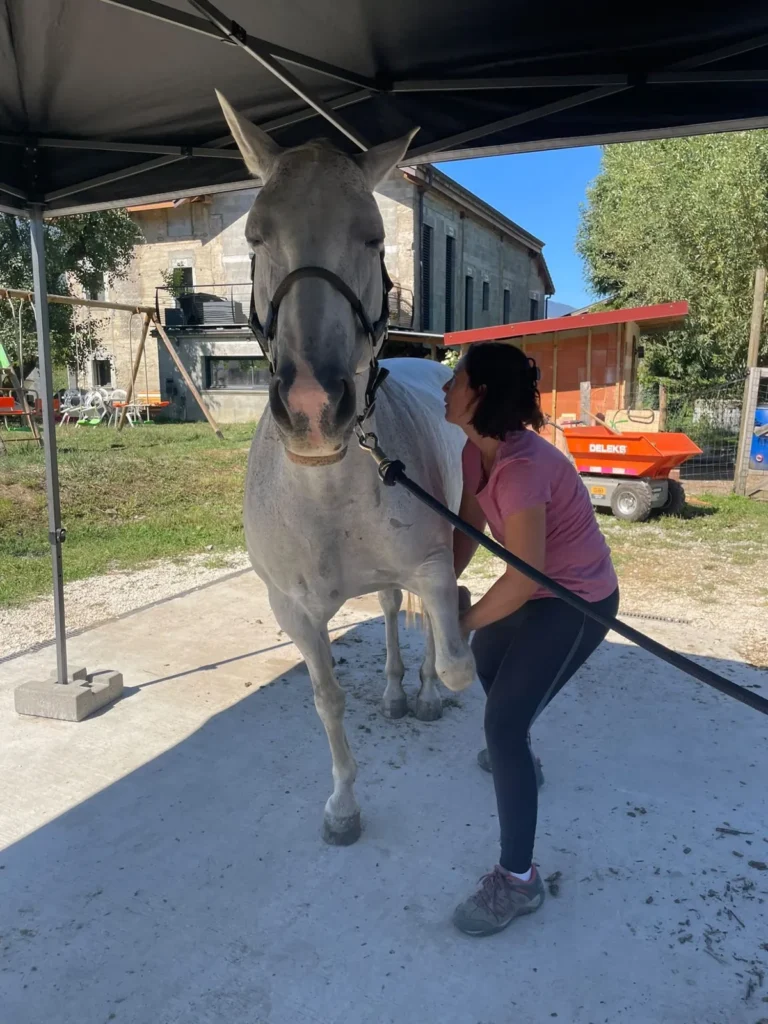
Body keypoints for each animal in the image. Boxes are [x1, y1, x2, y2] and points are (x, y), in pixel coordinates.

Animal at [217, 93, 476, 845]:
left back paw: (420, 694)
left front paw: (439, 683)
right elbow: (326, 699)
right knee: (389, 610)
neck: (325, 491)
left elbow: (452, 655)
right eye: (255, 237)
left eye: (373, 239)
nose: (311, 408)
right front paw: (342, 805)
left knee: (420, 623)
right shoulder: (294, 610)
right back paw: (393, 692)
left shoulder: (433, 564)